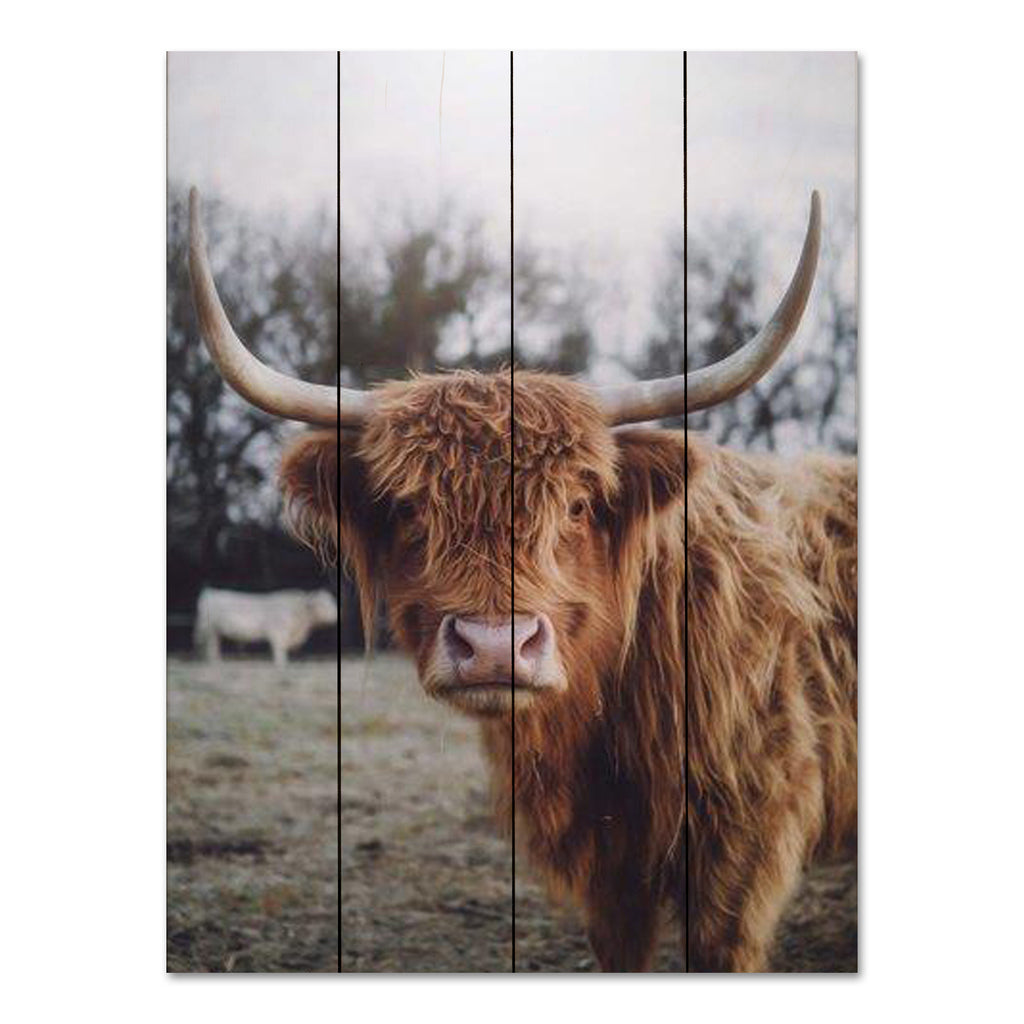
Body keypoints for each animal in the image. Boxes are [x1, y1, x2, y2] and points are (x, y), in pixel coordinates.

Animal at [194, 587, 338, 669]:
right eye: (322, 604)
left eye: (332, 601)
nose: (337, 615)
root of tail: (210, 592)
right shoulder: (278, 632)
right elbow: (279, 649)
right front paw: (281, 664)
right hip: (209, 629)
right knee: (211, 645)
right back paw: (215, 662)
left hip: (214, 630)